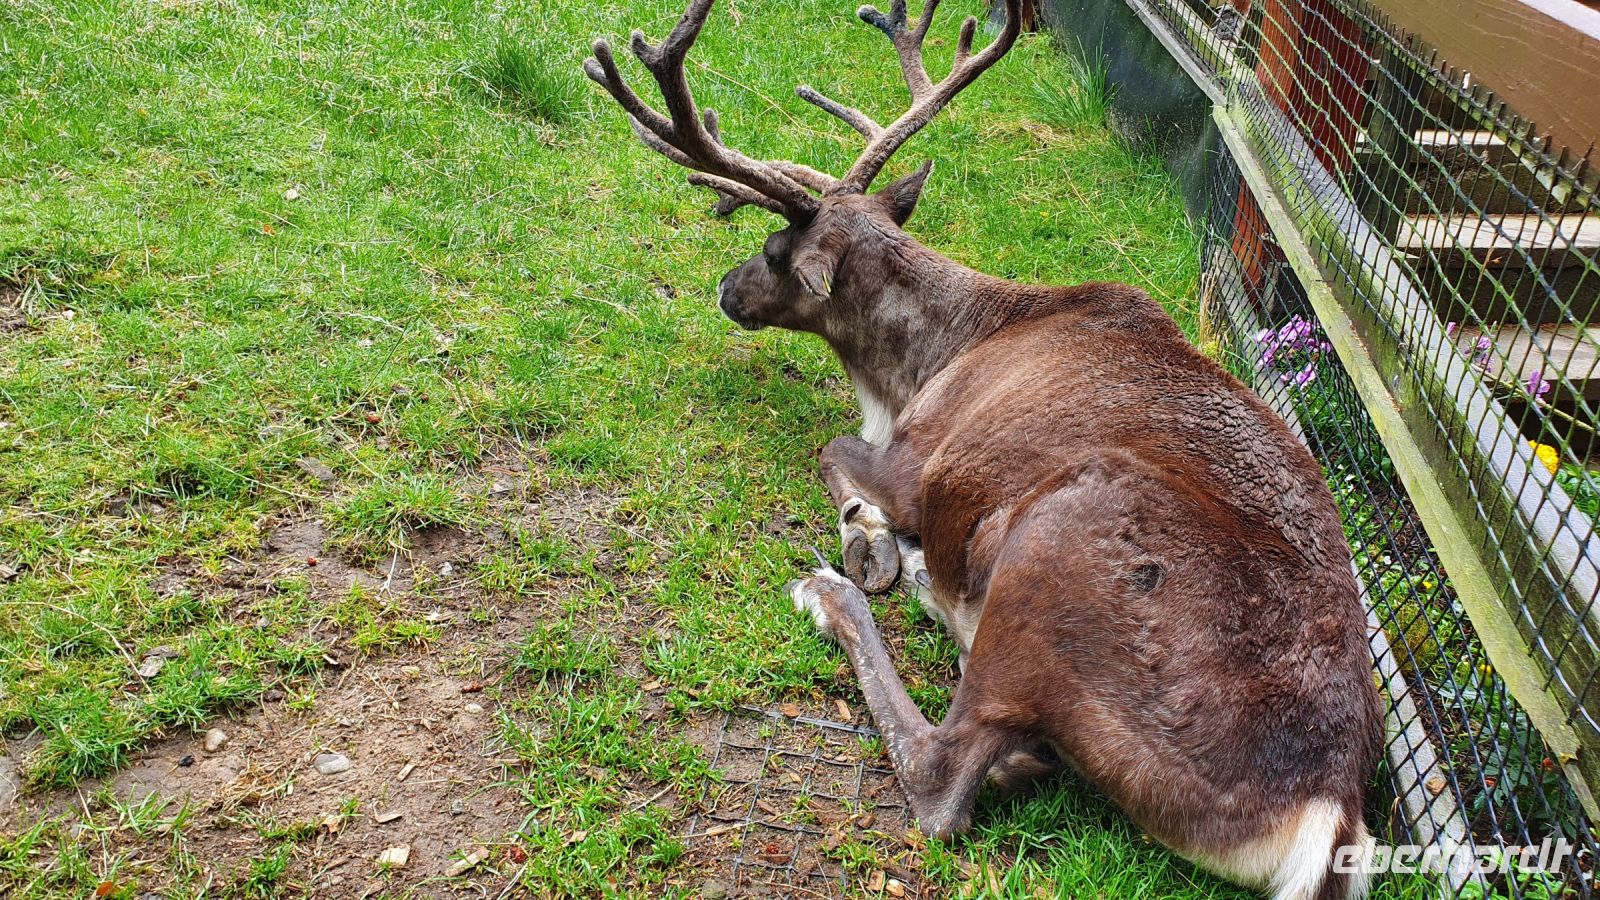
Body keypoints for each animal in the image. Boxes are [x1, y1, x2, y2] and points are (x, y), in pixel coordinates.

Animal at [584, 2, 1381, 897]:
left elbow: (833, 450)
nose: (725, 288)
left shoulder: (916, 459)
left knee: (952, 773)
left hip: (1059, 539)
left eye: (774, 251)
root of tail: (1325, 815)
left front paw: (866, 538)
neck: (921, 363)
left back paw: (841, 591)